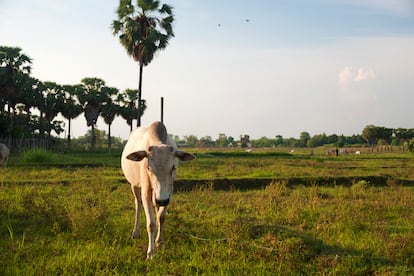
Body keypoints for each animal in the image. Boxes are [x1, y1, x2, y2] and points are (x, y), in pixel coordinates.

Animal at [121, 121, 196, 258]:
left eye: (173, 168)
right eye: (148, 167)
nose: (162, 200)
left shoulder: (169, 193)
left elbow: (161, 217)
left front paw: (159, 242)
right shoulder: (146, 193)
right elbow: (151, 223)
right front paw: (150, 253)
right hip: (134, 186)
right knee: (138, 205)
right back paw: (135, 232)